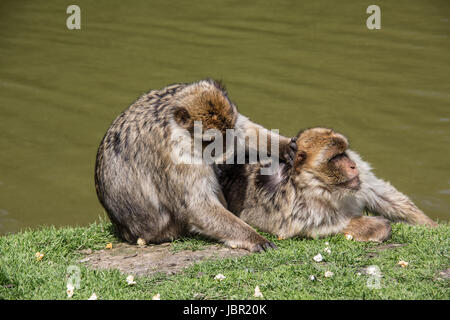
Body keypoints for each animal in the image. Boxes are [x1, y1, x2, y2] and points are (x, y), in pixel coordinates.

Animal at [94, 79, 298, 252]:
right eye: (212, 140)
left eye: (227, 134)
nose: (223, 148)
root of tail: (126, 231)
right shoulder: (177, 154)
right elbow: (197, 206)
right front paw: (255, 238)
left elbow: (244, 130)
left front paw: (284, 146)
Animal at [218, 127, 436, 242]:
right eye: (335, 157)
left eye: (344, 152)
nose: (353, 165)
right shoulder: (297, 200)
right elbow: (311, 224)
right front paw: (377, 226)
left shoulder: (360, 179)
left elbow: (380, 194)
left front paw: (431, 225)